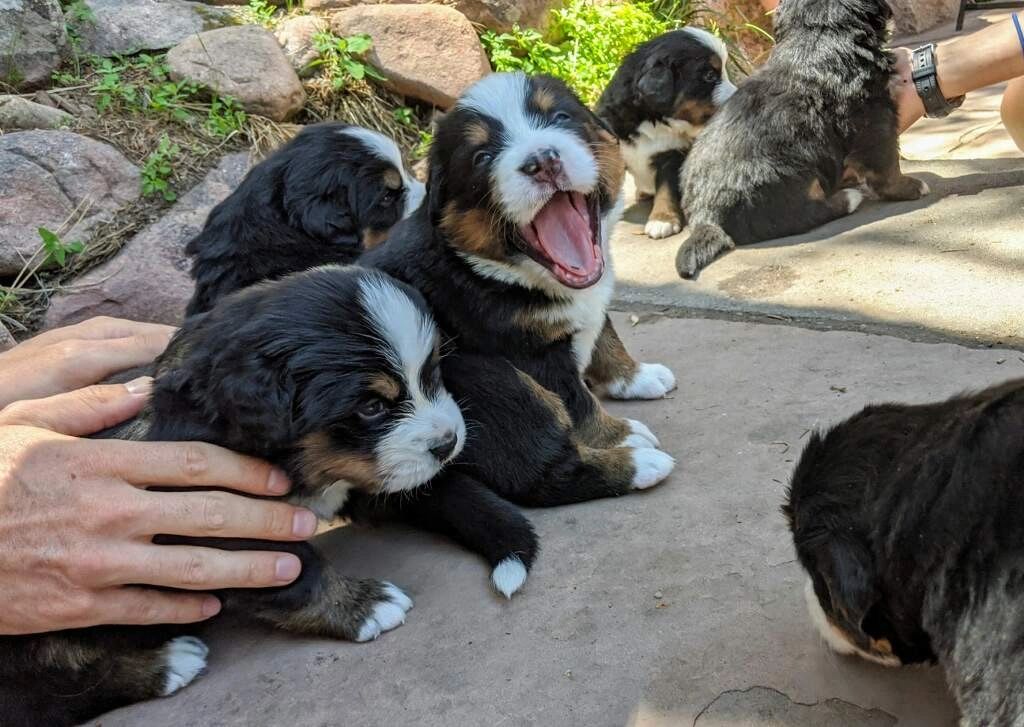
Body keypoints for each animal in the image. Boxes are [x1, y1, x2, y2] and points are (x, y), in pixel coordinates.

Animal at [0, 264, 464, 724]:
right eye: (372, 408)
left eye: (432, 375)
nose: (448, 443)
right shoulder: (219, 527)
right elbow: (301, 572)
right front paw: (363, 605)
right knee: (53, 691)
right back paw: (166, 665)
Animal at [593, 27, 737, 239]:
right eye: (710, 75)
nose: (739, 94)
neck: (652, 121)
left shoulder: (671, 156)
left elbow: (666, 190)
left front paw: (662, 220)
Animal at [675, 0, 933, 278]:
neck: (819, 38)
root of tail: (704, 217)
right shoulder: (874, 117)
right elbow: (886, 165)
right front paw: (910, 187)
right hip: (786, 179)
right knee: (798, 216)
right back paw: (848, 199)